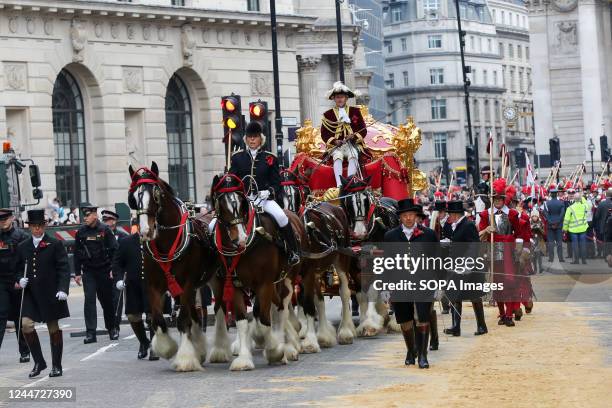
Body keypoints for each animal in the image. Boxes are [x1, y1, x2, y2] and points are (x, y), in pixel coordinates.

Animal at [126, 162, 218, 370]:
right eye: (133, 197)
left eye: (156, 194)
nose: (145, 231)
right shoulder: (154, 286)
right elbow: (158, 320)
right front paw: (166, 348)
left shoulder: (186, 284)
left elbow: (183, 321)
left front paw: (185, 359)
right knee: (195, 314)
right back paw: (200, 348)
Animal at [206, 174, 304, 372]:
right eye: (222, 205)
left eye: (242, 203)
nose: (241, 239)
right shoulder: (235, 284)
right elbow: (243, 321)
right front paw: (244, 359)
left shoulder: (264, 284)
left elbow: (264, 318)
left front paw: (275, 351)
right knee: (277, 306)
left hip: (287, 279)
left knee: (282, 307)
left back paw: (288, 345)